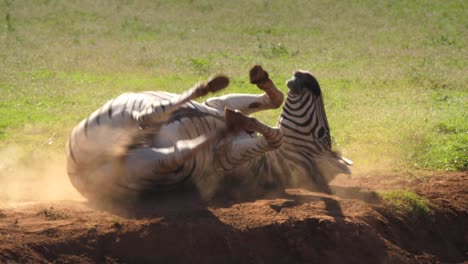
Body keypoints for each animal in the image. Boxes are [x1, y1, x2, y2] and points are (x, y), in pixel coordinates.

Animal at [66, 65, 352, 200]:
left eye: (322, 133)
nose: (306, 75)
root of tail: (81, 173)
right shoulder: (217, 105)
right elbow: (275, 98)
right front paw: (261, 80)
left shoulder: (227, 156)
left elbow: (276, 135)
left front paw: (246, 124)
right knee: (159, 119)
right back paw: (215, 94)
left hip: (140, 144)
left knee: (151, 122)